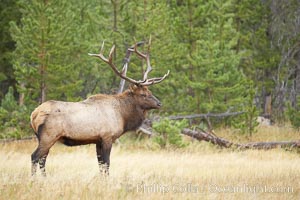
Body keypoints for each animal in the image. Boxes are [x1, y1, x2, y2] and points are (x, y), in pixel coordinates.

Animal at [31, 39, 171, 176]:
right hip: (48, 136)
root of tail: (34, 114)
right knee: (35, 156)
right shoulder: (107, 137)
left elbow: (100, 165)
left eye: (150, 92)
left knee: (43, 159)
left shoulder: (97, 140)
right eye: (143, 94)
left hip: (43, 138)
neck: (123, 116)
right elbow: (107, 163)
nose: (159, 103)